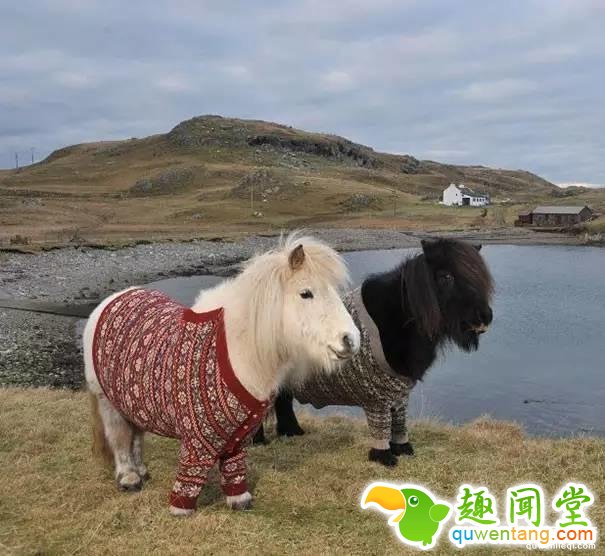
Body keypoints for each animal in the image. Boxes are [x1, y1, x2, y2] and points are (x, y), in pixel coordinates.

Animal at [83, 234, 360, 515]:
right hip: (108, 402)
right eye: (306, 293)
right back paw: (129, 478)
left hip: (132, 402)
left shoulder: (238, 437)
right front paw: (181, 509)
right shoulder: (195, 441)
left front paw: (239, 500)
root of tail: (111, 300)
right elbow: (190, 475)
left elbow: (234, 469)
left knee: (136, 436)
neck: (235, 351)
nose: (351, 340)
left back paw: (141, 471)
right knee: (119, 437)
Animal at [258, 238, 494, 466]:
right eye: (446, 276)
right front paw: (384, 457)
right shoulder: (377, 398)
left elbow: (399, 423)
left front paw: (404, 449)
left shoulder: (399, 395)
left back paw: (292, 432)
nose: (485, 316)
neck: (397, 319)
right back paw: (260, 441)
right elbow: (381, 427)